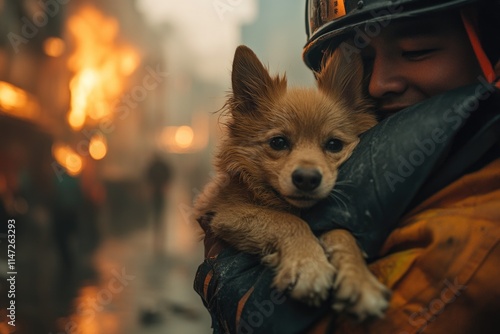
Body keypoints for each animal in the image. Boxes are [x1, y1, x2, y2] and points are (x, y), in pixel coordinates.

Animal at [195, 45, 390, 320]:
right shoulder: (226, 214)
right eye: (278, 142)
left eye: (334, 145)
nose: (307, 178)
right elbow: (288, 221)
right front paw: (309, 266)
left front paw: (359, 277)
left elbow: (341, 232)